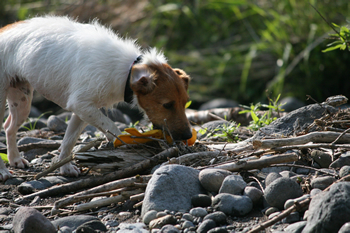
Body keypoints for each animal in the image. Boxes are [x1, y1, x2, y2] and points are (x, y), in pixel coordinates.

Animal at [0, 16, 193, 181]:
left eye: (185, 103)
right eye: (167, 105)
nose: (188, 136)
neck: (127, 71)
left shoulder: (82, 111)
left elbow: (69, 140)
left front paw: (65, 167)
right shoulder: (81, 105)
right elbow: (112, 127)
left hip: (22, 101)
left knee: (9, 127)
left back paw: (15, 159)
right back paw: (3, 171)